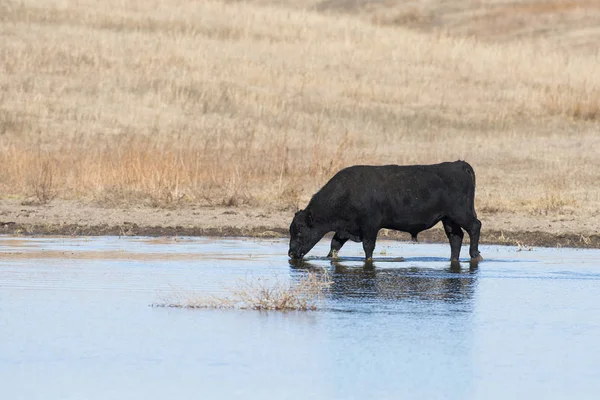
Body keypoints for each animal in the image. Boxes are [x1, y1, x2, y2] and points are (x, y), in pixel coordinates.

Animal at [288, 159, 482, 262]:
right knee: (455, 237)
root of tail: (459, 164)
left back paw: (475, 255)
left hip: (461, 214)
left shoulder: (370, 227)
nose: (290, 253)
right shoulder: (345, 229)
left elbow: (368, 248)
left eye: (299, 232)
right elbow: (334, 245)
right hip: (448, 219)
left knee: (475, 226)